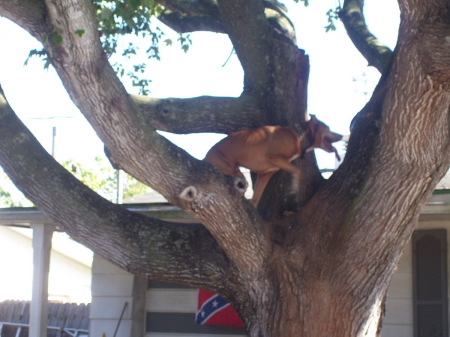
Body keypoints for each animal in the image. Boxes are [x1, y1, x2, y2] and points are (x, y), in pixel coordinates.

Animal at [204, 115, 342, 205]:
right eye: (328, 127)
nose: (341, 135)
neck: (299, 136)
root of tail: (205, 158)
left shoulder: (265, 175)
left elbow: (256, 198)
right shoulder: (275, 157)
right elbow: (297, 170)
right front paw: (294, 187)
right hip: (230, 170)